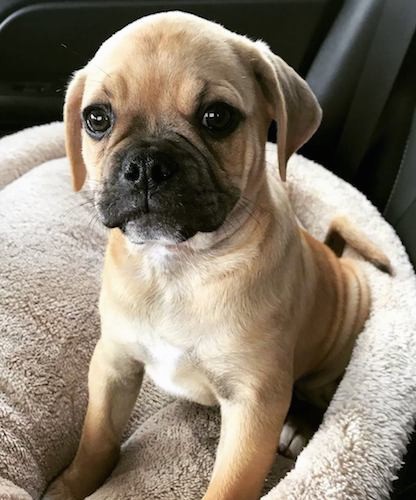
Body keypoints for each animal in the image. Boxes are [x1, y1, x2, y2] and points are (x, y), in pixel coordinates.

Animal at [44, 11, 390, 500]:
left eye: (217, 117)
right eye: (96, 118)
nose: (145, 165)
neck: (176, 266)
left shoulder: (254, 403)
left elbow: (230, 484)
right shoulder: (114, 362)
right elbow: (98, 436)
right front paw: (71, 485)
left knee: (319, 393)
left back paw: (300, 426)